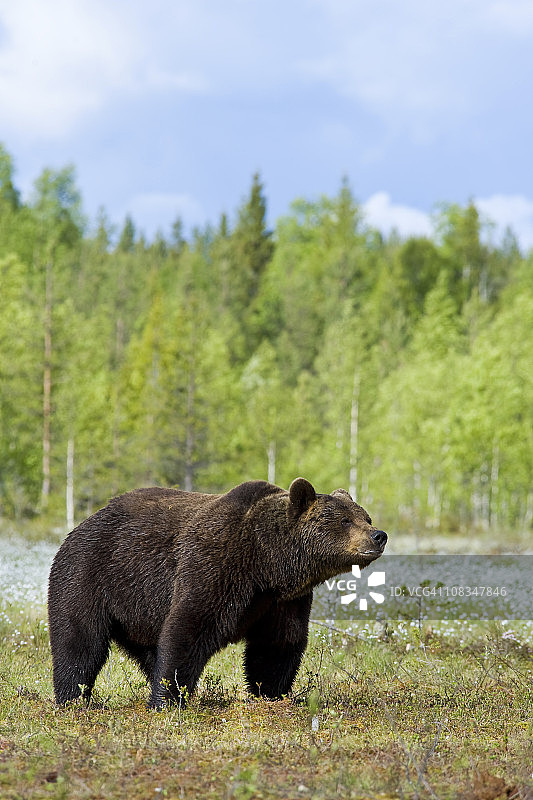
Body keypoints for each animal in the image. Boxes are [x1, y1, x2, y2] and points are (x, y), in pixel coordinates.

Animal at [47, 478, 387, 709]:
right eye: (344, 520)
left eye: (366, 516)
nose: (379, 535)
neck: (266, 563)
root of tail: (82, 524)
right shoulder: (216, 564)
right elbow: (188, 627)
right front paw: (167, 699)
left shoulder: (282, 600)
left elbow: (280, 642)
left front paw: (271, 692)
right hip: (90, 574)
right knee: (79, 641)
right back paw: (73, 698)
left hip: (138, 606)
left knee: (148, 649)